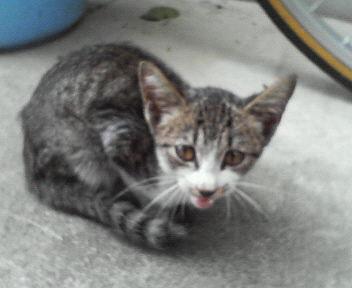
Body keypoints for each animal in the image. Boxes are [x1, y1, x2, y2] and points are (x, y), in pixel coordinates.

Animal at [20, 43, 296, 248]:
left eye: (234, 156)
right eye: (185, 152)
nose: (206, 191)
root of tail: (31, 167)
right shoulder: (115, 132)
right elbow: (137, 183)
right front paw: (159, 205)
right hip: (77, 144)